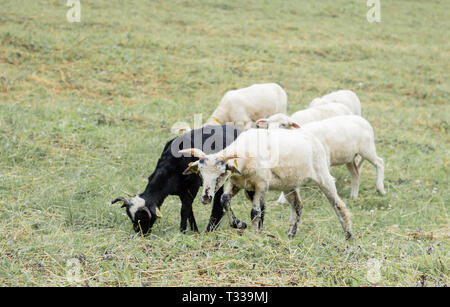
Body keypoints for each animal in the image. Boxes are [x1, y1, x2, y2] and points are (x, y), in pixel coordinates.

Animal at [110, 125, 248, 236]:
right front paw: (194, 230)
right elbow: (189, 211)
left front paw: (183, 232)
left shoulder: (192, 187)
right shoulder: (182, 191)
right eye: (131, 218)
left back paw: (213, 227)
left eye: (144, 218)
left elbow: (184, 210)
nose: (141, 234)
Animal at [178, 129, 352, 239]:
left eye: (221, 173)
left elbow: (255, 212)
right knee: (297, 206)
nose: (206, 198)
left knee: (338, 204)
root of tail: (314, 139)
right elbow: (224, 199)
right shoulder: (236, 183)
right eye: (200, 173)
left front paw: (255, 235)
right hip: (288, 184)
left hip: (322, 174)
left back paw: (349, 235)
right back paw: (291, 235)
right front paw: (238, 224)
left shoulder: (261, 185)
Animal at [256, 114, 386, 199]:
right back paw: (353, 196)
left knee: (379, 162)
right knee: (355, 174)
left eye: (283, 124)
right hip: (349, 157)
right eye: (267, 125)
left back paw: (380, 189)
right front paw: (281, 201)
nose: (270, 134)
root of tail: (363, 120)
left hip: (367, 149)